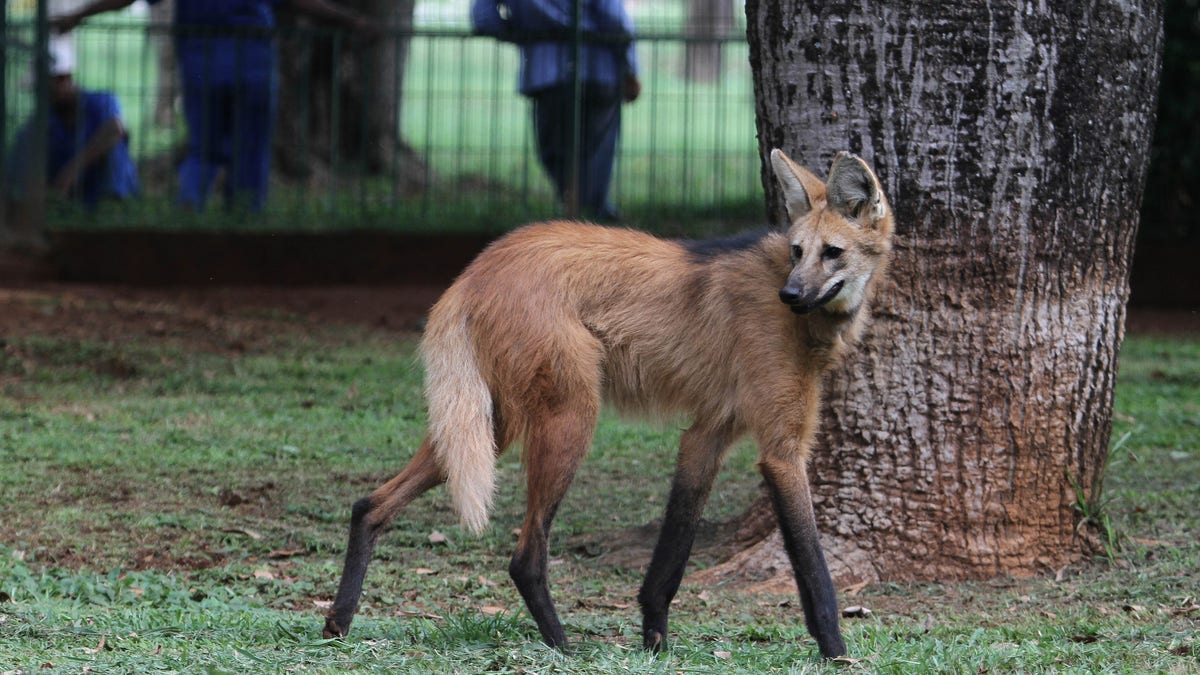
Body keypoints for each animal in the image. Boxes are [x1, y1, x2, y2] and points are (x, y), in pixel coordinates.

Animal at [323, 148, 894, 659]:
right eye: (798, 251)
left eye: (832, 252)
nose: (790, 295)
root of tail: (474, 271)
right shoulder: (780, 450)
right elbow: (811, 563)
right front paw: (836, 650)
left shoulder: (707, 434)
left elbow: (673, 548)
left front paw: (655, 638)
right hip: (570, 417)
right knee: (525, 555)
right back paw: (563, 646)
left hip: (490, 423)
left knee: (370, 504)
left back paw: (338, 622)